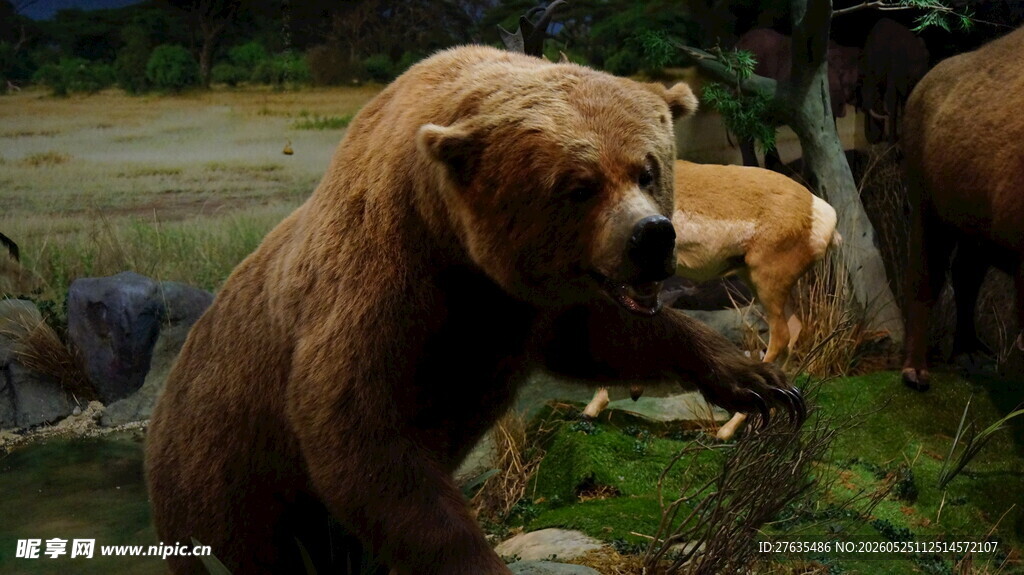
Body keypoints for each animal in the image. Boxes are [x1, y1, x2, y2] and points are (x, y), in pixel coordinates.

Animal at [145, 45, 804, 575]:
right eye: (580, 184)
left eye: (648, 169)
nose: (652, 238)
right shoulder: (385, 288)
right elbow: (363, 438)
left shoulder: (527, 307)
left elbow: (611, 337)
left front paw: (761, 383)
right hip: (221, 482)